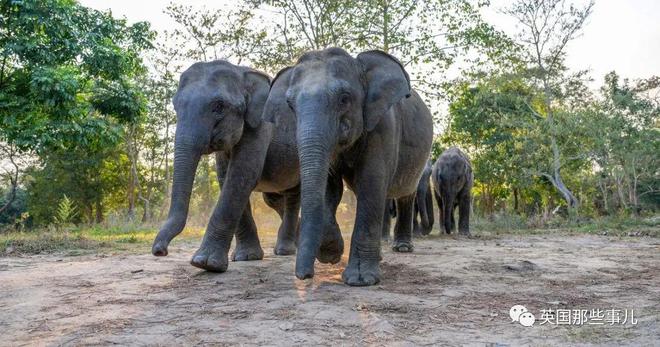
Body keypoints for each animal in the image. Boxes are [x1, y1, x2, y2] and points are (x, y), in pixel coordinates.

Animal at [151, 60, 302, 272]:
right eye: (175, 105)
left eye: (219, 106)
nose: (160, 251)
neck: (242, 72)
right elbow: (225, 177)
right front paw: (246, 257)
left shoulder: (261, 126)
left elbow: (241, 175)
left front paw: (205, 263)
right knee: (273, 199)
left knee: (294, 196)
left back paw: (286, 250)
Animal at [262, 47, 434, 286]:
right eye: (290, 105)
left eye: (344, 99)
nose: (304, 276)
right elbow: (330, 187)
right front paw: (330, 254)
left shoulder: (383, 126)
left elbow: (370, 183)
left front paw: (360, 280)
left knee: (405, 195)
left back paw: (402, 248)